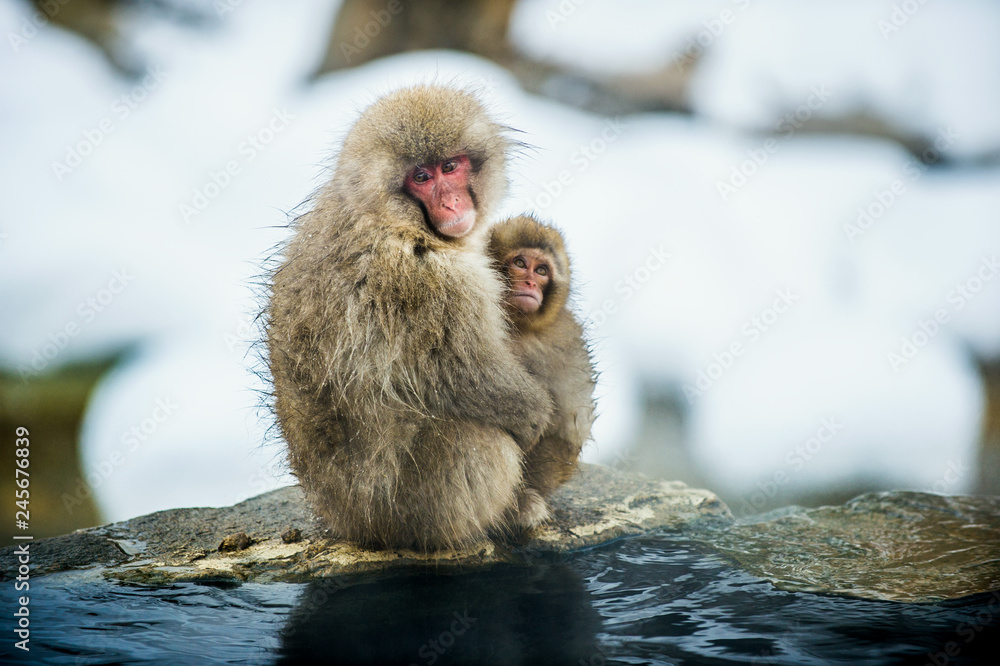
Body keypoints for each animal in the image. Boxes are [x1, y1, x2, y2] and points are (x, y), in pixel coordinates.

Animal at [265, 85, 554, 551]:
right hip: (414, 510)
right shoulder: (434, 283)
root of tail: (354, 525)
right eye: (421, 177)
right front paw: (533, 414)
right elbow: (463, 372)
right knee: (478, 437)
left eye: (449, 167)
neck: (390, 217)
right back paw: (502, 518)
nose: (451, 202)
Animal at [487, 215, 597, 527]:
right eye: (520, 263)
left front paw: (521, 502)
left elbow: (565, 430)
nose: (530, 282)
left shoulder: (566, 340)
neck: (518, 325)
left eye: (542, 270)